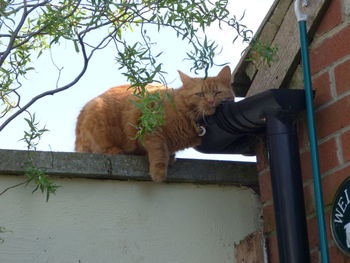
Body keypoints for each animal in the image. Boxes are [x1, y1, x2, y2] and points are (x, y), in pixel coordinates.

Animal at [76, 66, 235, 183]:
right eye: (200, 94)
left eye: (217, 92)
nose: (210, 101)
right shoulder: (151, 129)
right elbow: (159, 151)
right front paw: (158, 173)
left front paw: (171, 157)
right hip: (97, 117)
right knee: (101, 149)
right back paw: (115, 151)